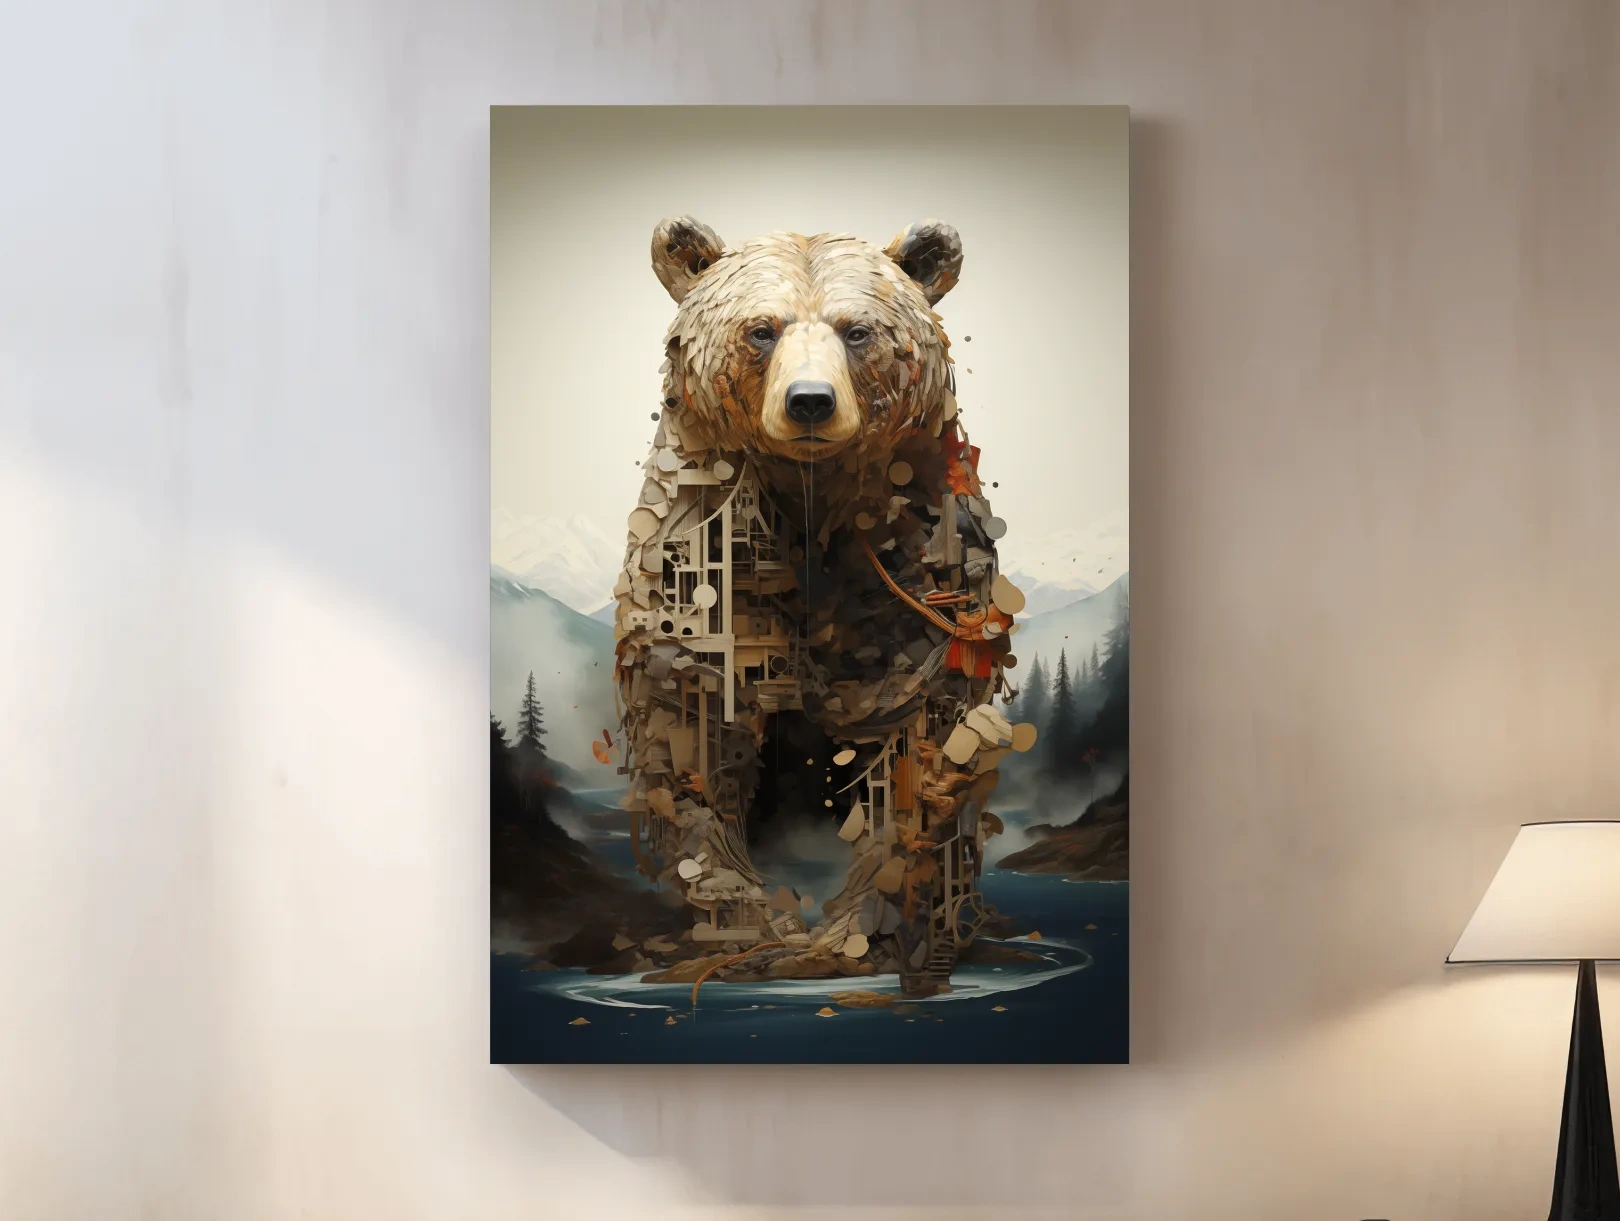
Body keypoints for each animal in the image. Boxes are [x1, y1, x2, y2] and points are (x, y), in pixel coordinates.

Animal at [610, 216, 1036, 995]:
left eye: (856, 330)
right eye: (762, 329)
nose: (810, 400)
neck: (811, 501)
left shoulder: (913, 579)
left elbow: (909, 752)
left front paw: (858, 931)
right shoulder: (701, 579)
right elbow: (694, 745)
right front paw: (752, 927)